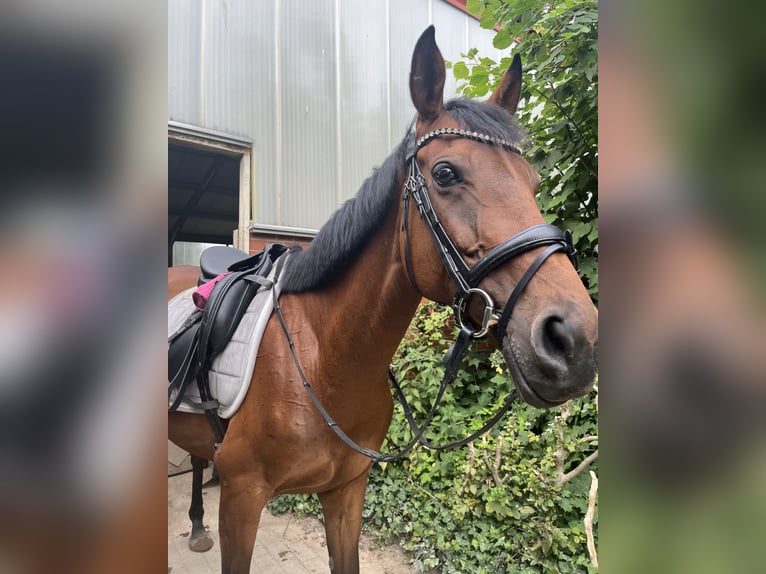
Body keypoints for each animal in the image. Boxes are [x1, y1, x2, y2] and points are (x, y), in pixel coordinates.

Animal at [168, 24, 600, 572]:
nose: (574, 339)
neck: (322, 359)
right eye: (445, 173)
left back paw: (196, 525)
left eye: (535, 182)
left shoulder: (347, 491)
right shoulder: (242, 500)